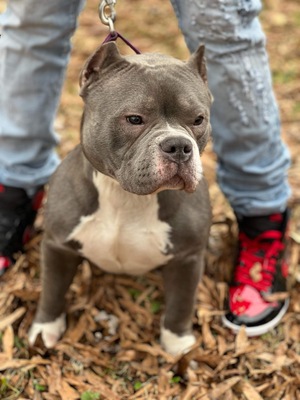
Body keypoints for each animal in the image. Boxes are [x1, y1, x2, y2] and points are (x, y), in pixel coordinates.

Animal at [27, 42, 211, 354]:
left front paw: (178, 345)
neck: (126, 196)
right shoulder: (57, 246)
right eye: (134, 119)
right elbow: (52, 289)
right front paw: (45, 329)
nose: (179, 145)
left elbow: (181, 303)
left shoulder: (187, 257)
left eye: (198, 120)